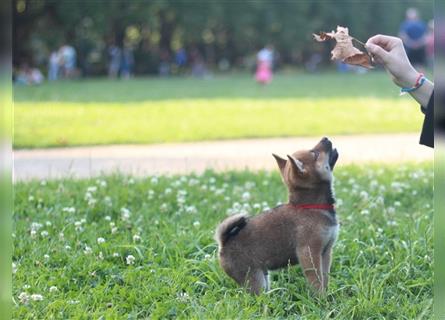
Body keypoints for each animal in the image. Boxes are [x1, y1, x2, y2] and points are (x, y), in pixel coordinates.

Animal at [214, 138, 336, 296]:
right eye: (314, 153)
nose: (325, 138)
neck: (311, 206)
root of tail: (224, 243)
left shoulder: (326, 253)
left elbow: (325, 277)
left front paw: (327, 295)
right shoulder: (309, 252)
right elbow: (316, 280)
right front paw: (320, 298)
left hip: (263, 277)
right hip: (255, 279)